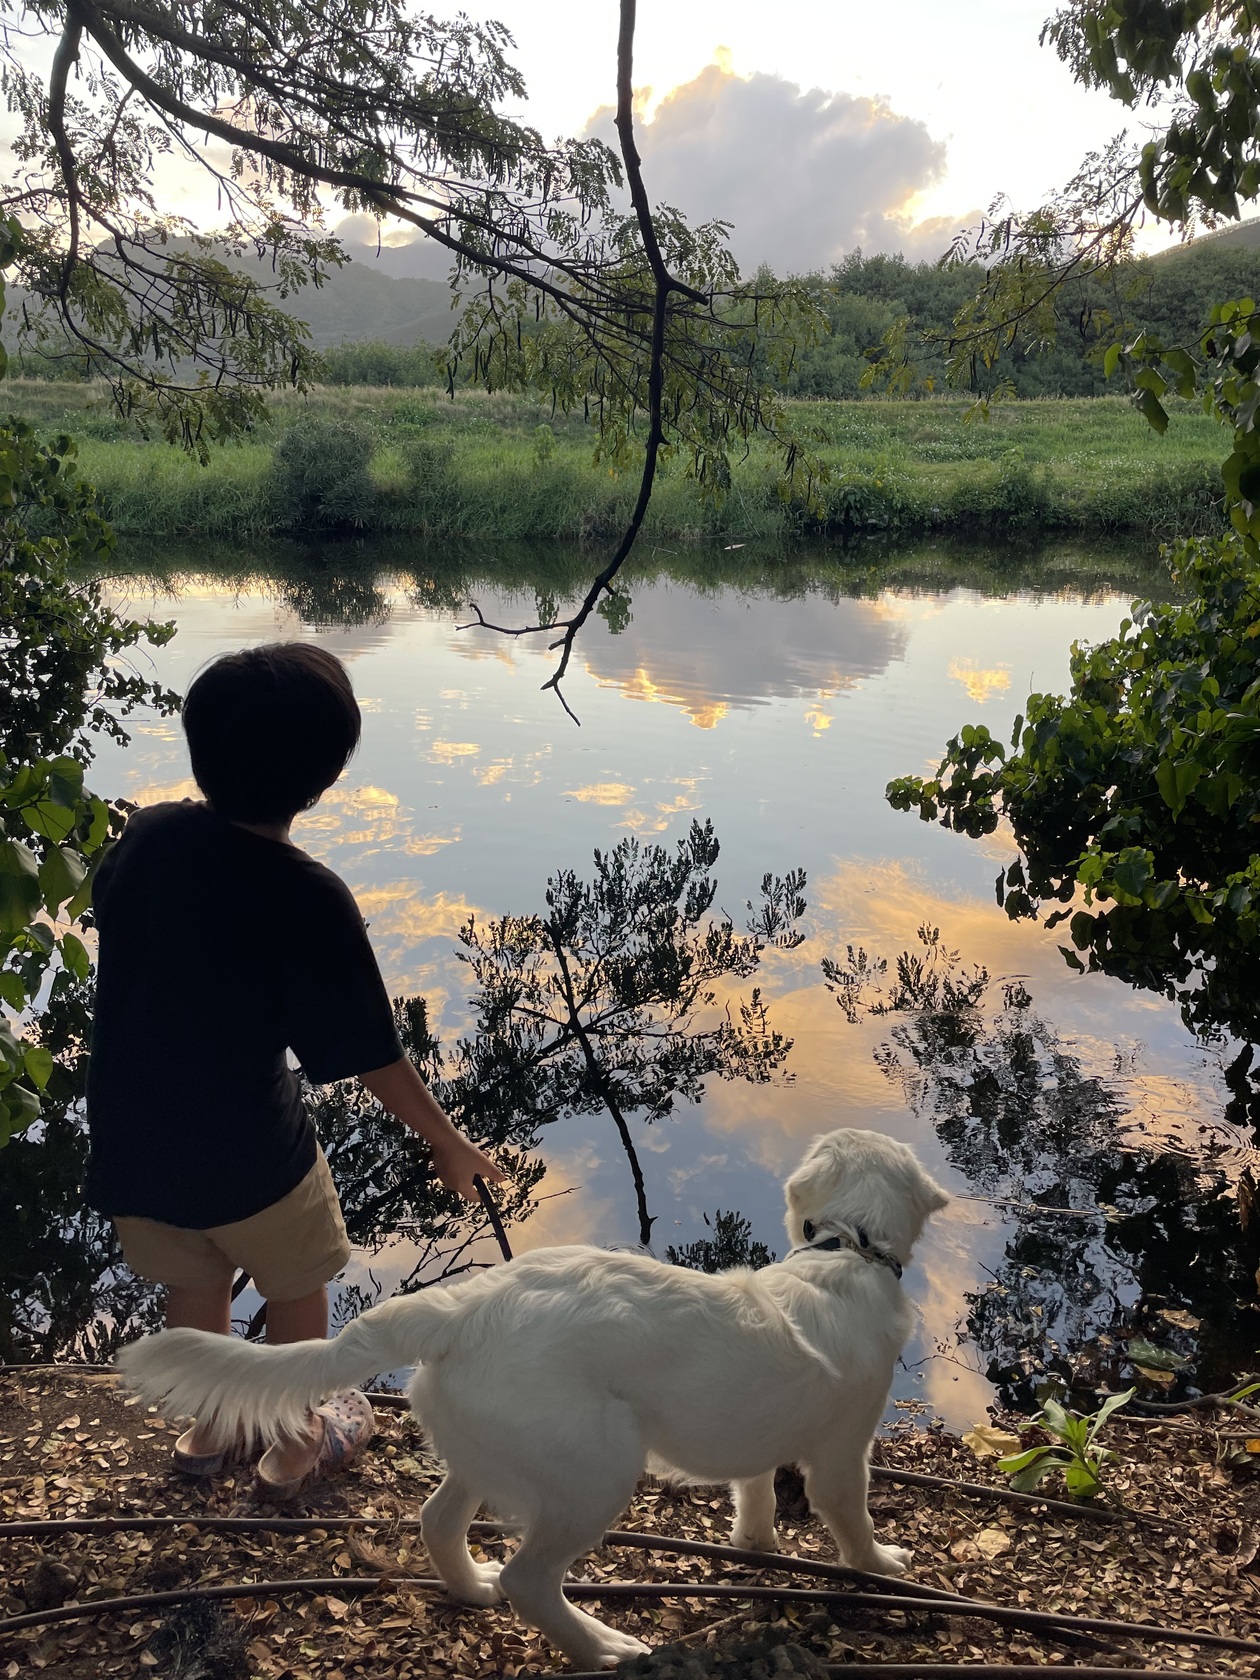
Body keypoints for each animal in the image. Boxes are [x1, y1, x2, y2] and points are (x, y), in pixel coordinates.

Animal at [115, 1128, 947, 1666]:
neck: (847, 1251)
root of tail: (459, 1308)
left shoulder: (760, 1439)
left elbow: (755, 1493)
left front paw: (758, 1545)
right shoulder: (843, 1452)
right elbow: (851, 1518)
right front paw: (881, 1564)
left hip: (490, 1455)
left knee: (439, 1523)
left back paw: (473, 1588)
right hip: (594, 1475)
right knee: (531, 1581)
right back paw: (600, 1647)